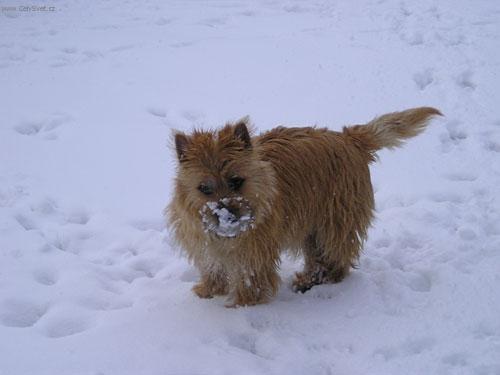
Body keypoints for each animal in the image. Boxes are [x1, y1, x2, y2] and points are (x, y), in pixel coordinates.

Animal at [168, 107, 442, 306]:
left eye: (236, 181)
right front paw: (208, 292)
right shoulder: (206, 249)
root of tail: (349, 138)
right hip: (313, 228)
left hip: (335, 219)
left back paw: (312, 281)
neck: (227, 238)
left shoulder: (254, 256)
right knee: (318, 256)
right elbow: (213, 270)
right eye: (204, 188)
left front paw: (239, 307)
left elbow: (251, 283)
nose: (226, 215)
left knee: (336, 258)